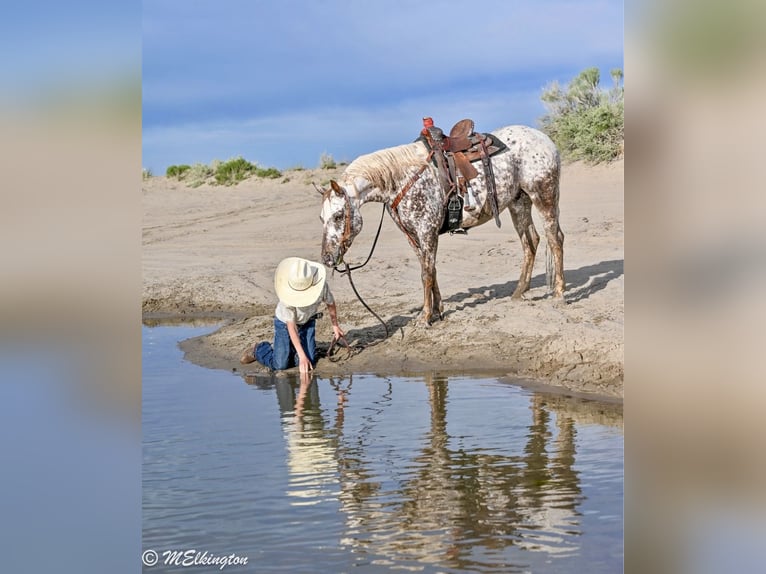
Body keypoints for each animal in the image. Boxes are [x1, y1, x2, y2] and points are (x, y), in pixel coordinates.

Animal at [319, 124, 565, 325]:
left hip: (544, 197)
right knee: (531, 242)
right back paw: (519, 292)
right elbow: (431, 269)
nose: (327, 258)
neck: (401, 179)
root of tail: (545, 139)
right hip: (519, 202)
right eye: (322, 218)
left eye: (338, 216)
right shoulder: (414, 236)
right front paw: (438, 311)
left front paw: (425, 317)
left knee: (555, 239)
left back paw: (559, 294)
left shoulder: (427, 231)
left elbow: (426, 274)